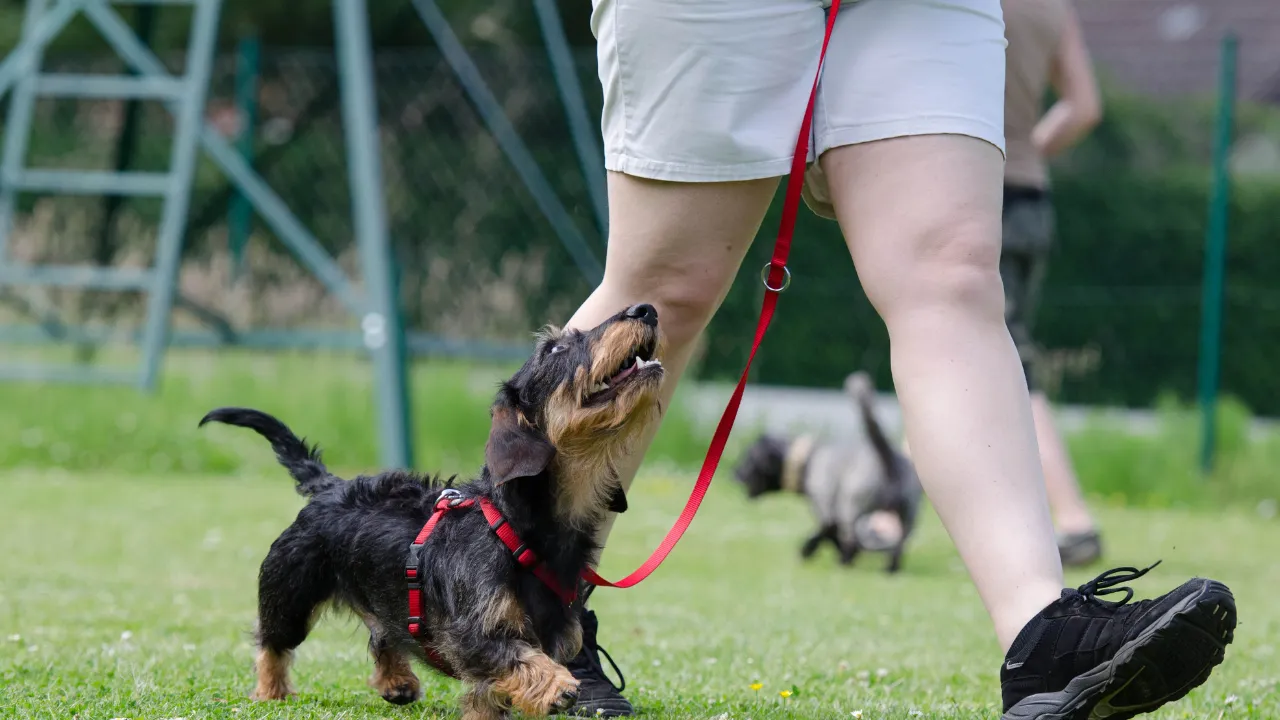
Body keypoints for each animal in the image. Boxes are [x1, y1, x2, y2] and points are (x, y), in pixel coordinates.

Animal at [198, 301, 665, 717]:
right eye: (554, 349)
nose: (645, 309)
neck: (518, 527)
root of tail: (330, 486)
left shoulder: (553, 635)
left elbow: (493, 693)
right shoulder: (472, 634)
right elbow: (517, 658)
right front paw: (557, 685)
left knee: (382, 634)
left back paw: (396, 681)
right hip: (290, 593)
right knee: (271, 643)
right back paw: (271, 691)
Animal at [732, 371, 921, 568]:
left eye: (748, 459)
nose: (734, 473)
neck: (807, 460)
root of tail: (887, 455)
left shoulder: (826, 510)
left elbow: (827, 533)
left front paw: (808, 550)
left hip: (851, 507)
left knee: (852, 539)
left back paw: (844, 562)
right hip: (908, 516)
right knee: (898, 546)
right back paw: (889, 568)